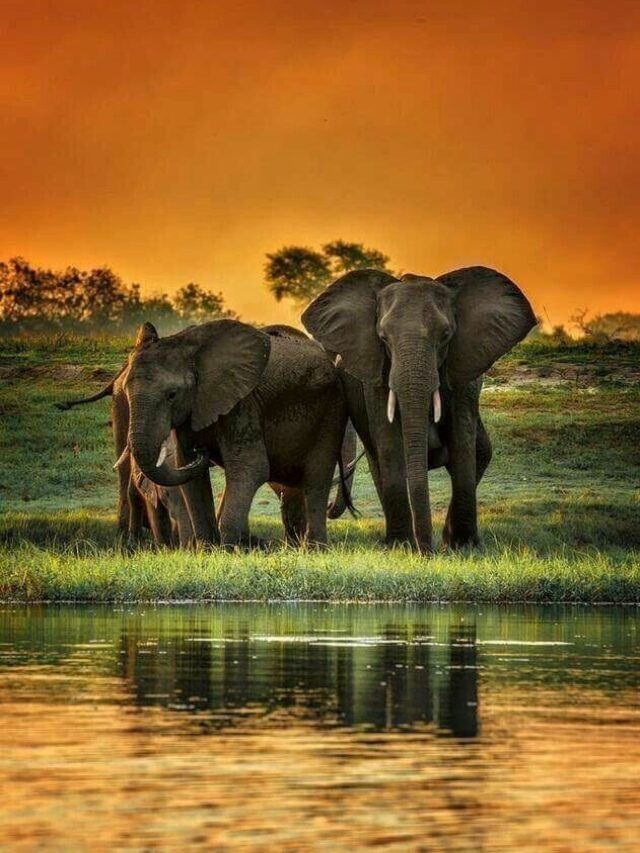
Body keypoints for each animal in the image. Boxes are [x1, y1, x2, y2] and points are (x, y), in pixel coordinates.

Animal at [122, 318, 349, 548]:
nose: (201, 451)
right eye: (124, 391)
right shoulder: (190, 412)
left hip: (331, 410)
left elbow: (250, 467)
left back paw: (315, 549)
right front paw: (206, 549)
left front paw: (229, 549)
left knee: (316, 478)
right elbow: (189, 473)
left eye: (172, 395)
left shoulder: (243, 403)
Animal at [301, 266, 536, 553]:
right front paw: (400, 546)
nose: (428, 552)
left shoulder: (464, 369)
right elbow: (389, 441)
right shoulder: (378, 376)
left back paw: (448, 540)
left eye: (445, 336)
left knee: (481, 452)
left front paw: (464, 546)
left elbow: (462, 441)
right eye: (383, 338)